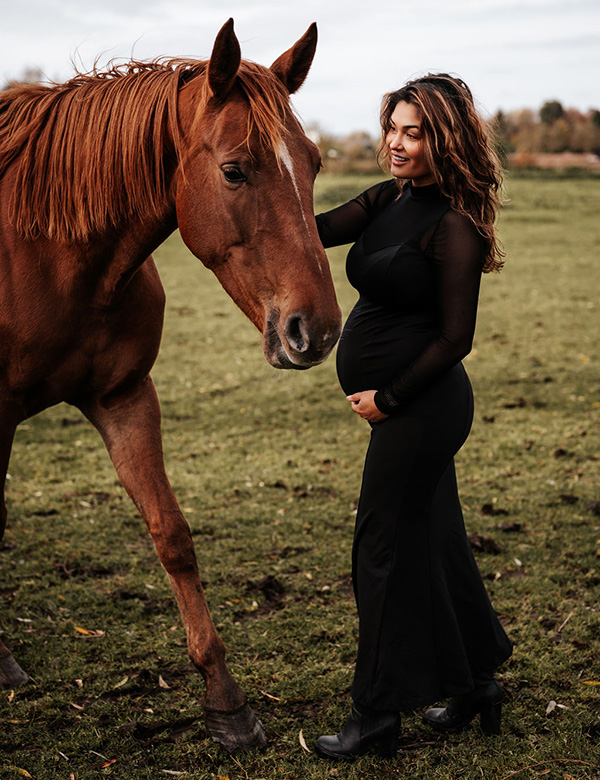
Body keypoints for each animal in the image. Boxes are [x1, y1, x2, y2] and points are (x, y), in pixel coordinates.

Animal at [0, 19, 340, 748]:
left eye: (314, 164)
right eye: (235, 170)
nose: (318, 330)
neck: (49, 251)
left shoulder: (125, 399)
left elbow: (173, 535)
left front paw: (226, 701)